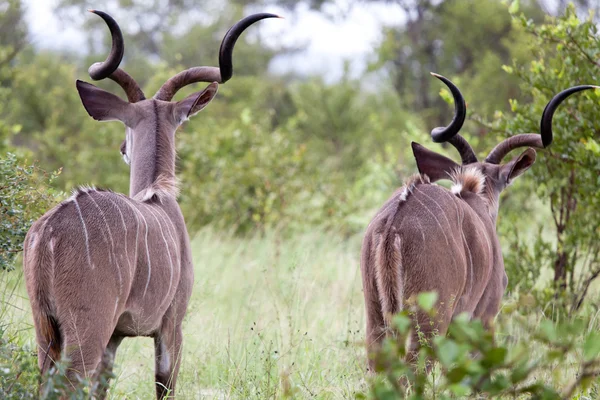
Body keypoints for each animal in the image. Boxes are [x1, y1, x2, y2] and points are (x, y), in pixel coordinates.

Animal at [21, 9, 278, 396]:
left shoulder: (116, 337)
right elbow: (164, 384)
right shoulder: (171, 325)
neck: (158, 196)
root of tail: (48, 232)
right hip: (85, 332)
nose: (122, 149)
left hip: (45, 332)